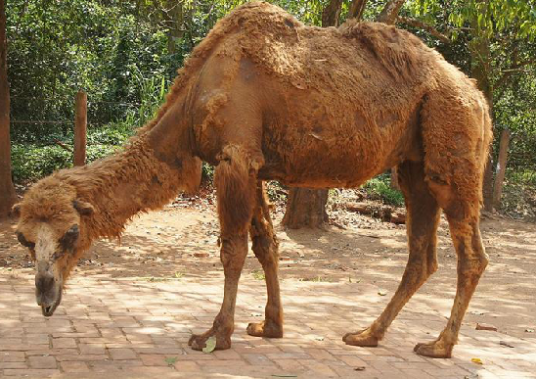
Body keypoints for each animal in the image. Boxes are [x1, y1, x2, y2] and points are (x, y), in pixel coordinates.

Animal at [12, 2, 492, 360]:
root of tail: (478, 97)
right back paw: (367, 334)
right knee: (421, 255)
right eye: (24, 239)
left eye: (71, 233)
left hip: (452, 140)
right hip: (413, 165)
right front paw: (270, 325)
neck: (193, 100)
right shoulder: (255, 164)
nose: (45, 297)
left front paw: (214, 335)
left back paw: (439, 345)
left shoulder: (235, 158)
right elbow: (266, 245)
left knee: (470, 253)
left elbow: (233, 250)